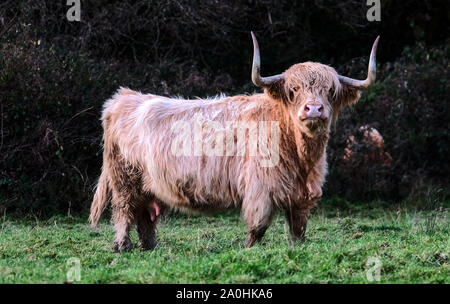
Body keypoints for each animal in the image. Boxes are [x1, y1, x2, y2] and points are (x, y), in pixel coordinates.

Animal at [89, 32, 380, 251]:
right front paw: (250, 249)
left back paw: (150, 246)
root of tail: (123, 97)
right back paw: (122, 246)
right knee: (124, 210)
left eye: (330, 91)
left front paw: (298, 246)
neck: (302, 157)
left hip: (147, 185)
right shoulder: (260, 188)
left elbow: (299, 228)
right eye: (293, 90)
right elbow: (258, 226)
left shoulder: (301, 195)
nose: (314, 109)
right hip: (124, 178)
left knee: (145, 216)